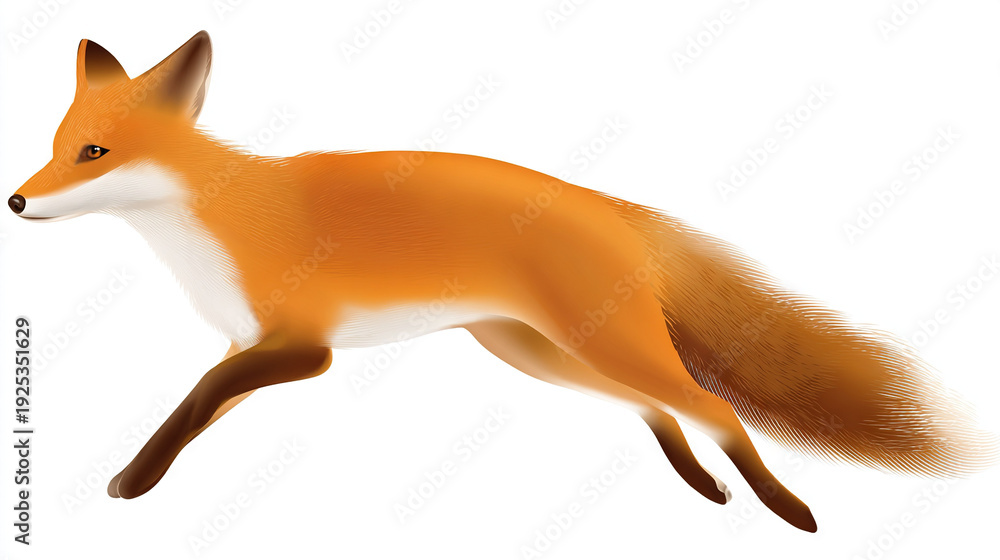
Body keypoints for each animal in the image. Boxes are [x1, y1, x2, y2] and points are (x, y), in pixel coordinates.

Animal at [8, 31, 998, 533]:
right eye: (56, 146)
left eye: (92, 154)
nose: (16, 200)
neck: (217, 224)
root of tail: (607, 204)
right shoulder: (255, 346)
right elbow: (199, 405)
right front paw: (139, 477)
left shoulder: (302, 348)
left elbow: (193, 399)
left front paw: (131, 482)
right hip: (542, 357)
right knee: (660, 409)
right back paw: (703, 489)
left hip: (596, 347)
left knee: (711, 406)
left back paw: (787, 508)